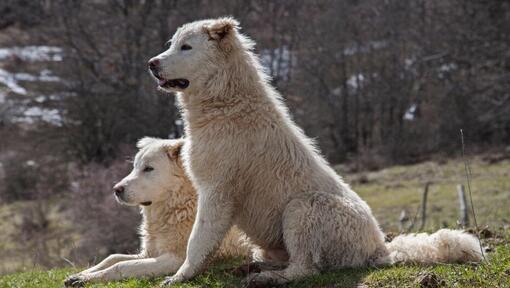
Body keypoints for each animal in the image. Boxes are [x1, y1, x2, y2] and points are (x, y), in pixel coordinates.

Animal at [63, 137, 251, 286]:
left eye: (148, 168)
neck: (177, 207)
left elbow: (121, 265)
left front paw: (86, 279)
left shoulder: (176, 258)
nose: (116, 189)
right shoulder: (149, 252)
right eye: (135, 167)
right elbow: (113, 257)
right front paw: (80, 275)